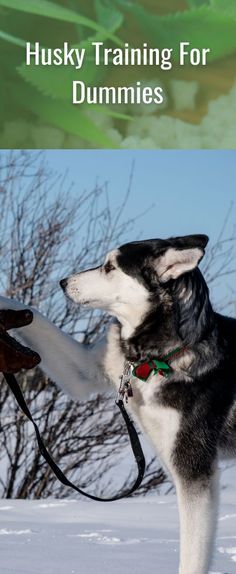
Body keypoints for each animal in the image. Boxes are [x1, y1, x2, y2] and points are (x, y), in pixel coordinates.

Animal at [0, 235, 236, 574]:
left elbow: (192, 558)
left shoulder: (194, 470)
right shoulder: (88, 370)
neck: (161, 356)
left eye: (110, 267)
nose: (63, 282)